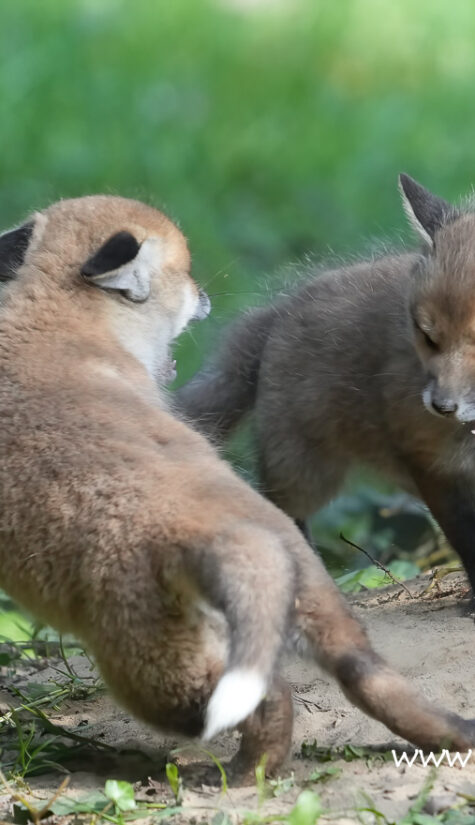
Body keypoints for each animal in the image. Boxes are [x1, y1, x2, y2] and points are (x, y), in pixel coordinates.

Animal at [177, 174, 475, 595]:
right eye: (428, 336)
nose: (442, 407)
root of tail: (281, 308)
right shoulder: (433, 466)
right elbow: (467, 539)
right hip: (306, 470)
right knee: (278, 509)